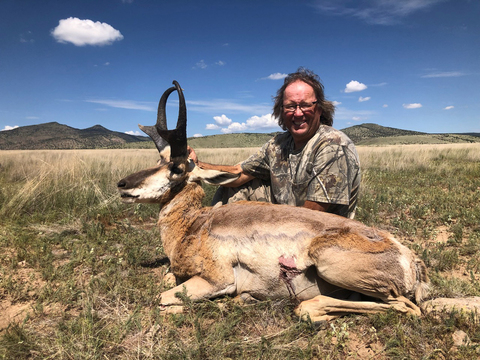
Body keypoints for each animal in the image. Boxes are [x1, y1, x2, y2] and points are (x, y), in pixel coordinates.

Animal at [118, 81, 430, 320]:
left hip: (330, 264)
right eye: (158, 160)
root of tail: (409, 258)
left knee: (404, 307)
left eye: (176, 168)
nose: (123, 185)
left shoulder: (217, 279)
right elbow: (166, 277)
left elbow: (164, 297)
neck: (195, 226)